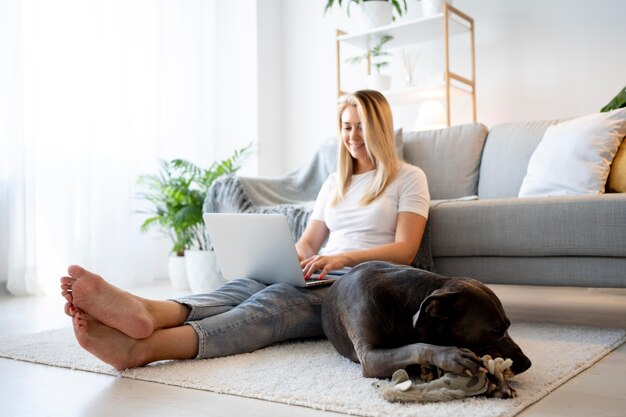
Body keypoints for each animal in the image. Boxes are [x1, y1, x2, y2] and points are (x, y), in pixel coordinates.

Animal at [320, 262, 528, 378]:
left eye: (508, 326)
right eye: (496, 331)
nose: (528, 364)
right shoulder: (370, 357)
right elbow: (416, 346)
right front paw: (451, 356)